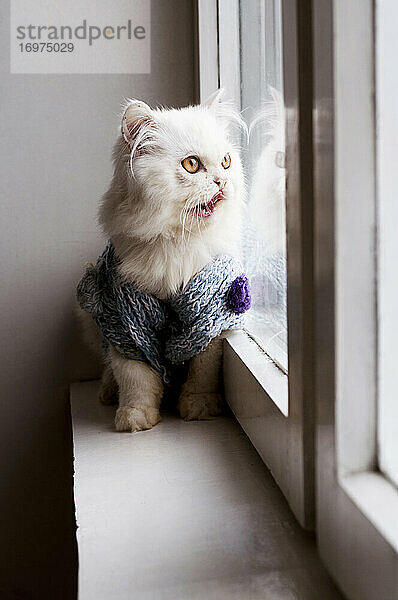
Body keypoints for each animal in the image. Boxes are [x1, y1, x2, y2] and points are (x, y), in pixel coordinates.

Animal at [82, 90, 246, 432]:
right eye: (192, 164)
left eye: (226, 161)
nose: (222, 181)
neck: (177, 244)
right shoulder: (125, 322)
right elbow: (136, 380)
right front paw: (134, 419)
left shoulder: (209, 315)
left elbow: (203, 371)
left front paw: (198, 408)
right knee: (109, 369)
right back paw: (107, 392)